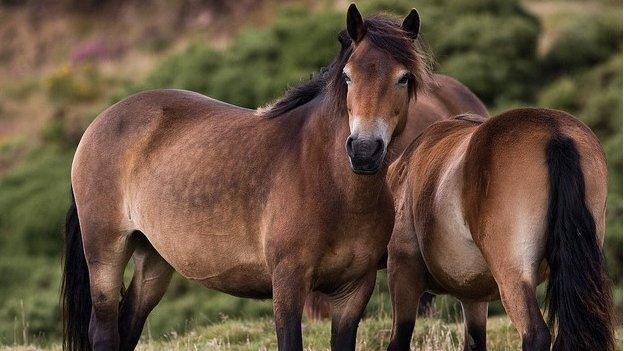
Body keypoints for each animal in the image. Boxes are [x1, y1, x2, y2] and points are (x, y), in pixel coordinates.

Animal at [64, 5, 428, 351]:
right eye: (349, 77)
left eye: (403, 78)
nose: (364, 150)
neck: (332, 186)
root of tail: (102, 120)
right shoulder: (288, 283)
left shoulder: (352, 293)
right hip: (106, 251)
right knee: (104, 330)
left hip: (152, 258)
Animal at [388, 108, 612, 350]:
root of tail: (555, 132)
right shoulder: (473, 297)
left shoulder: (403, 269)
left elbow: (399, 340)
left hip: (513, 275)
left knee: (536, 333)